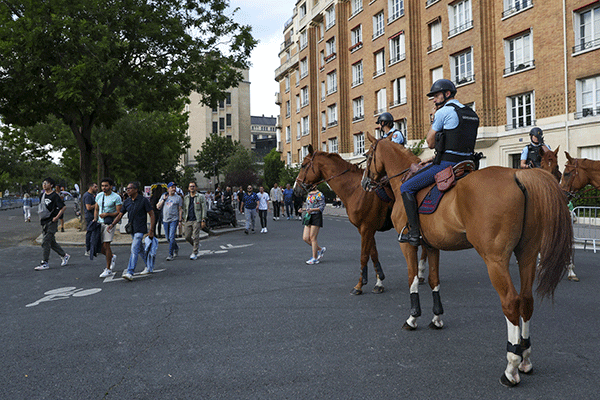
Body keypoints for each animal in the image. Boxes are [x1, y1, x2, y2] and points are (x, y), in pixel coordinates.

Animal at [292, 146, 396, 294]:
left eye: (304, 165)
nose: (295, 189)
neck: (357, 189)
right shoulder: (366, 229)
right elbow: (373, 254)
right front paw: (379, 282)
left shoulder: (366, 228)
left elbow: (364, 256)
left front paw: (359, 285)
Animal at [360, 134, 572, 388]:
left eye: (368, 154)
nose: (365, 183)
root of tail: (517, 176)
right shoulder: (431, 247)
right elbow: (433, 281)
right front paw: (436, 317)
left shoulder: (408, 245)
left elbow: (413, 279)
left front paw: (413, 317)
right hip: (527, 255)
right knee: (527, 301)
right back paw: (526, 358)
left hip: (495, 261)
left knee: (511, 302)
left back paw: (511, 367)